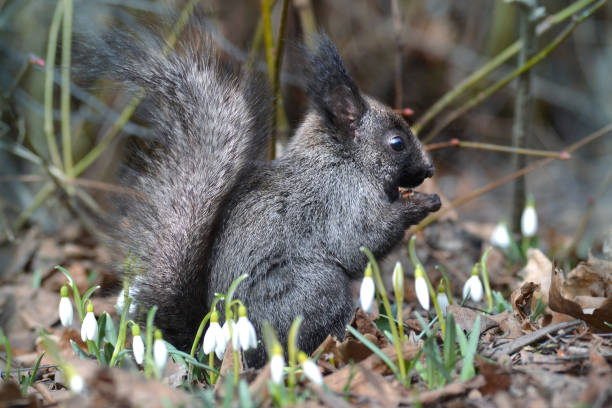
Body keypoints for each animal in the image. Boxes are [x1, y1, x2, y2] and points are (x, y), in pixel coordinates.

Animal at [86, 20, 440, 368]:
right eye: (397, 143)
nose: (429, 170)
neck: (341, 159)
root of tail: (211, 337)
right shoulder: (341, 200)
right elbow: (362, 239)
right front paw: (421, 204)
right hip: (315, 287)